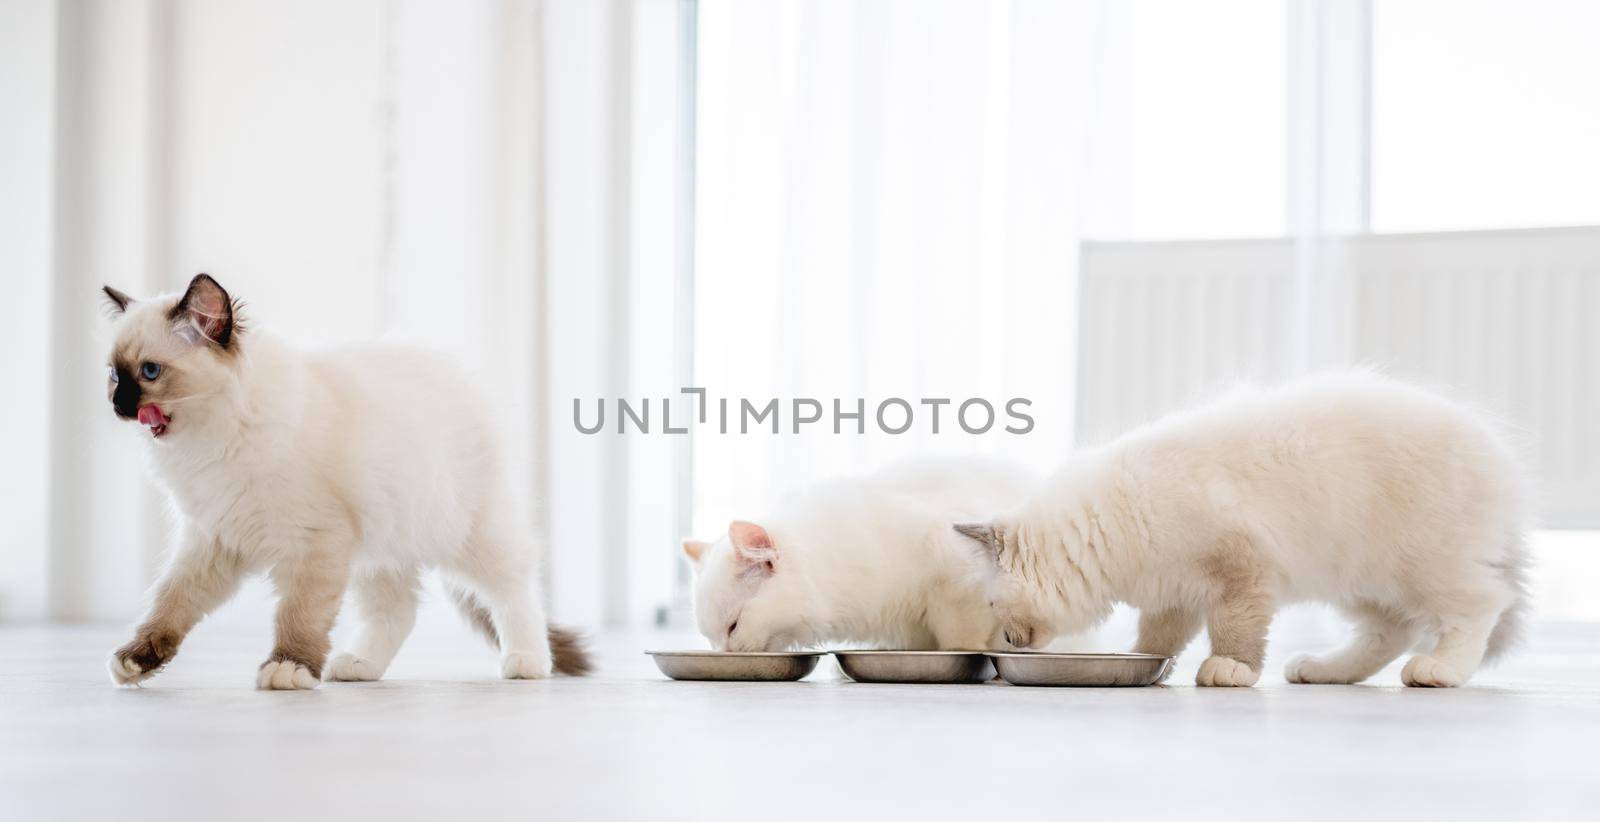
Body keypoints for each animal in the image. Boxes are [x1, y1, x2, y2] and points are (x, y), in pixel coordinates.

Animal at [100, 275, 588, 684]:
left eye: (149, 372)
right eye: (113, 375)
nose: (118, 405)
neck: (211, 442)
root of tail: (463, 377)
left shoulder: (313, 542)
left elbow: (298, 615)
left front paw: (289, 668)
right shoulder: (212, 539)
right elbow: (170, 603)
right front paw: (135, 660)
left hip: (469, 536)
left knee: (516, 589)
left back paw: (528, 662)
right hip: (381, 550)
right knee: (399, 612)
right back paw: (359, 666)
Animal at [953, 369, 1529, 684]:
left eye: (993, 607)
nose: (1007, 640)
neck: (1108, 526)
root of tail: (1496, 446)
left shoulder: (1241, 572)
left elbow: (1236, 633)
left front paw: (1229, 670)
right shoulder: (1174, 593)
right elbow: (1157, 639)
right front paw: (1146, 664)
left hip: (1423, 565)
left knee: (1479, 608)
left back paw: (1439, 671)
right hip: (1360, 578)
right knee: (1390, 632)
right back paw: (1322, 669)